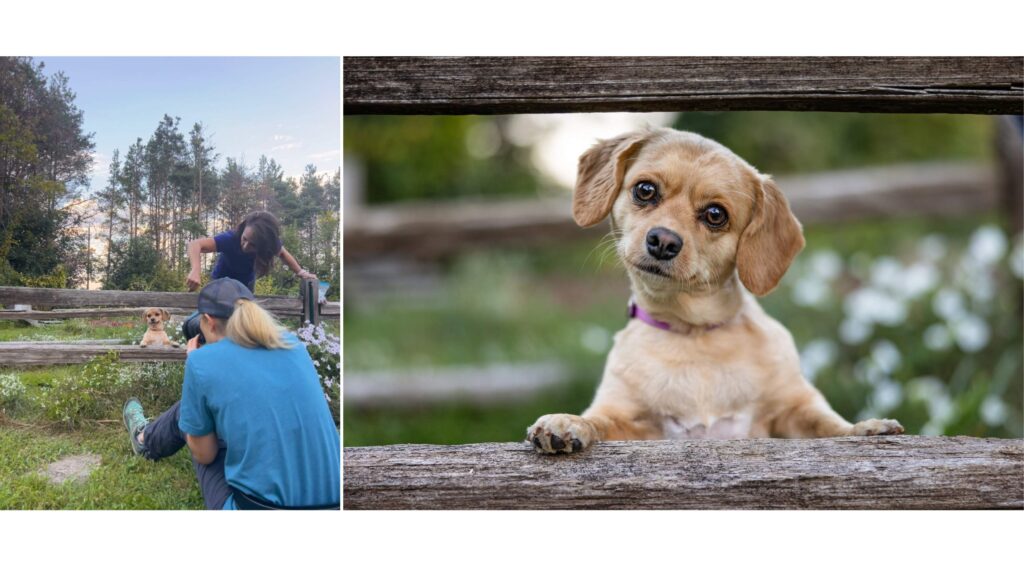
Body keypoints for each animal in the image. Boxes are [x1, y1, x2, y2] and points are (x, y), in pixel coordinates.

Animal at [528, 127, 905, 457]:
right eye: (645, 190)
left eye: (715, 214)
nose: (663, 241)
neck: (693, 333)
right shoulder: (628, 420)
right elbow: (598, 420)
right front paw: (567, 423)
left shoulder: (793, 408)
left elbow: (827, 425)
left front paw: (865, 428)